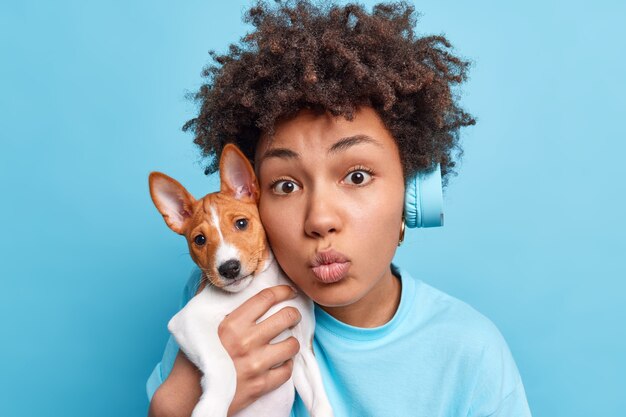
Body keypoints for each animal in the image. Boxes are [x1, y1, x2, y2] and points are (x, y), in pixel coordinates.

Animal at [149, 144, 334, 416]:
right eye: (200, 240)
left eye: (242, 223)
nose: (229, 268)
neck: (263, 283)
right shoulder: (189, 320)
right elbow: (224, 365)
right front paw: (211, 407)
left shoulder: (301, 347)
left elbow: (321, 400)